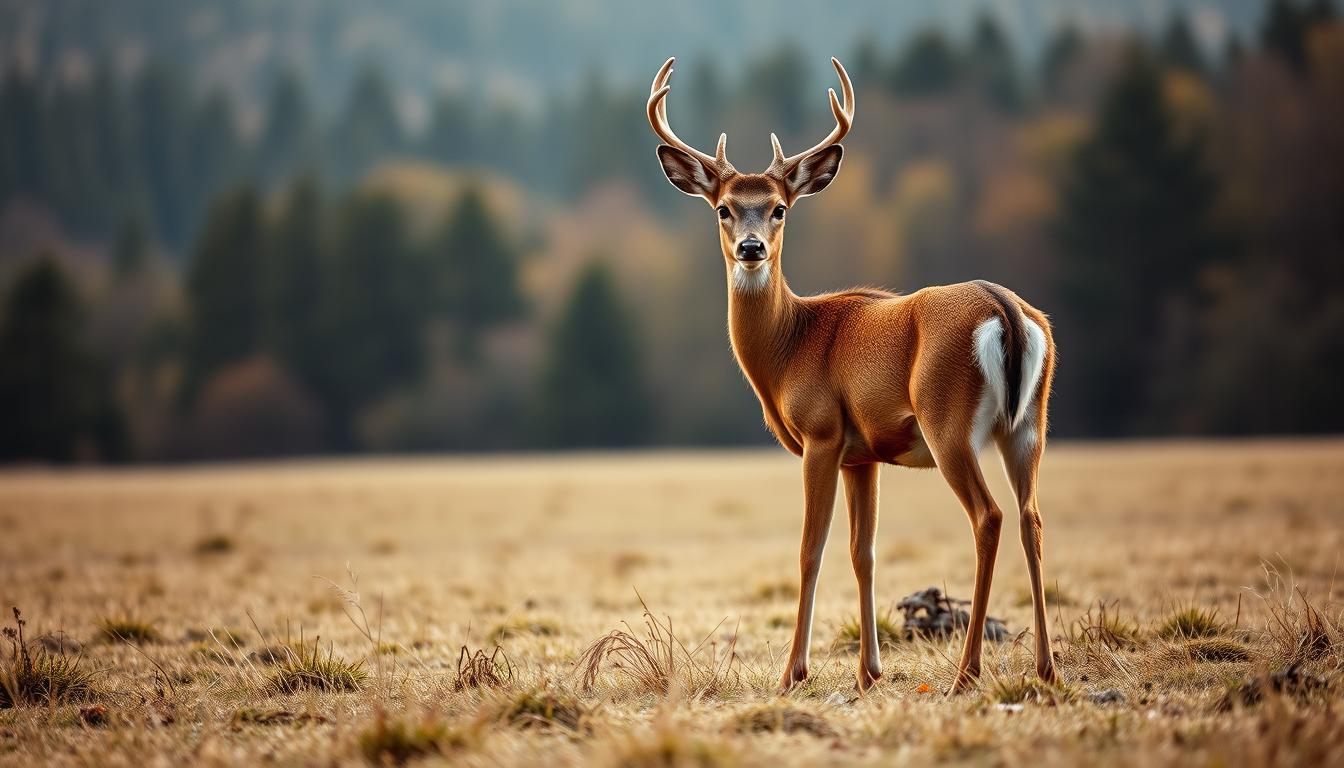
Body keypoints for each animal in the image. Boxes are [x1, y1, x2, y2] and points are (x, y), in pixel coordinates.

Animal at [647, 57, 1057, 694]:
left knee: (988, 517)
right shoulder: (863, 454)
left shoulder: (822, 433)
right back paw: (1045, 667)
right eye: (723, 208)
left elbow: (809, 549)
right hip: (1029, 424)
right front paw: (870, 671)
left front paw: (794, 672)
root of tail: (1007, 310)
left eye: (779, 208)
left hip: (947, 421)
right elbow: (863, 552)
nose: (750, 248)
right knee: (1032, 519)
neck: (789, 349)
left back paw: (966, 673)